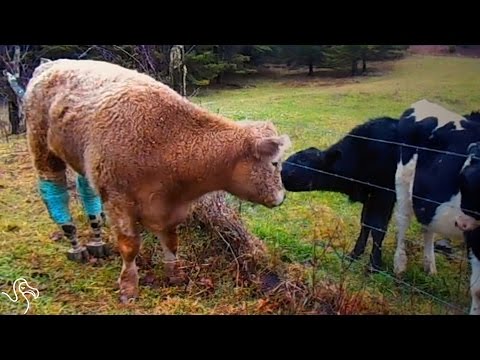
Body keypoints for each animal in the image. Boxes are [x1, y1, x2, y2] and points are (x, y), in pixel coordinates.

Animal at [22, 59, 290, 304]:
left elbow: (171, 241)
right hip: (42, 148)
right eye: (274, 163)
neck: (168, 140)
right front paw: (128, 287)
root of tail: (51, 65)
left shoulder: (168, 210)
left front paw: (175, 275)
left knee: (86, 190)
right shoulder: (118, 201)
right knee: (53, 188)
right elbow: (130, 246)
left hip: (82, 161)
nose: (281, 197)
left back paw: (96, 240)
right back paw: (74, 242)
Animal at [280, 116, 400, 272]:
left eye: (300, 163)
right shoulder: (370, 196)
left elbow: (378, 228)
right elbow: (365, 223)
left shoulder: (384, 194)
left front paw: (375, 265)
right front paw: (354, 254)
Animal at [396, 100, 480, 314]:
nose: (463, 223)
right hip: (403, 184)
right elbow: (478, 290)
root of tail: (422, 102)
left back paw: (430, 268)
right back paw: (399, 265)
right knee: (402, 222)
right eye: (463, 180)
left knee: (428, 228)